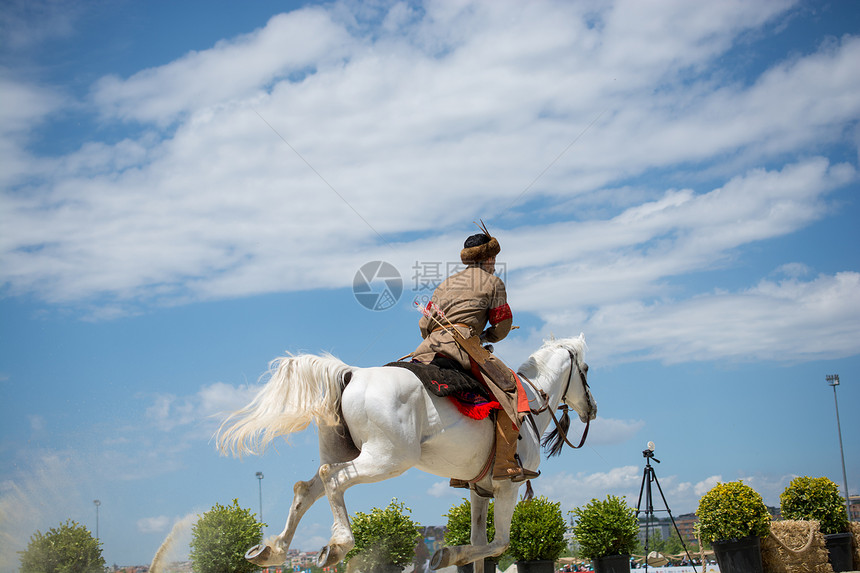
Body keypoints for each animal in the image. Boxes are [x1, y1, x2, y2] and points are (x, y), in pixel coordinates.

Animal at [215, 332, 596, 568]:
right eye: (586, 369)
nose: (591, 408)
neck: (530, 403)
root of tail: (352, 374)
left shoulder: (479, 490)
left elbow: (479, 542)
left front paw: (452, 554)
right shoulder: (508, 486)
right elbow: (500, 542)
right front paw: (446, 555)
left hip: (350, 453)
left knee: (307, 489)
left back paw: (273, 550)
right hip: (388, 459)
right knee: (332, 479)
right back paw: (338, 544)